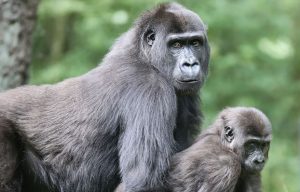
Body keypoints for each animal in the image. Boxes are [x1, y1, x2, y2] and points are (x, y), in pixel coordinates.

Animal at [0, 1, 210, 192]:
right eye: (176, 44)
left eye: (195, 43)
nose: (190, 64)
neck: (145, 56)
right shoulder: (151, 89)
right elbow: (142, 181)